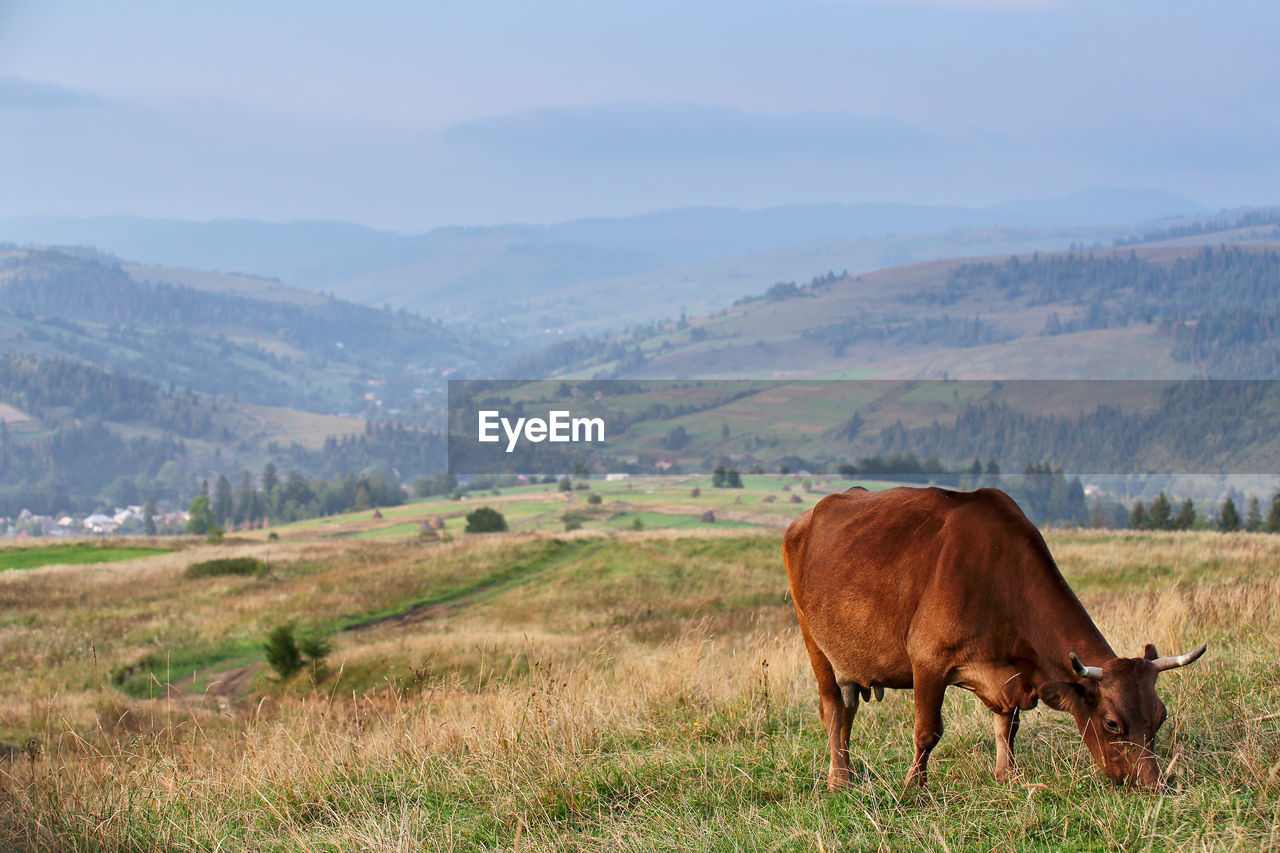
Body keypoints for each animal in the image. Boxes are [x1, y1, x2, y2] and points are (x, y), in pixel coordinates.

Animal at [778, 484, 1208, 788]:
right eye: (1112, 724)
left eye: (1160, 717)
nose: (1152, 785)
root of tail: (809, 514)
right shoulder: (928, 660)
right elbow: (927, 732)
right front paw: (913, 789)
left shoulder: (1013, 672)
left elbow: (1007, 726)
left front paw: (1008, 776)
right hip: (813, 640)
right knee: (834, 709)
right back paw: (839, 780)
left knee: (848, 708)